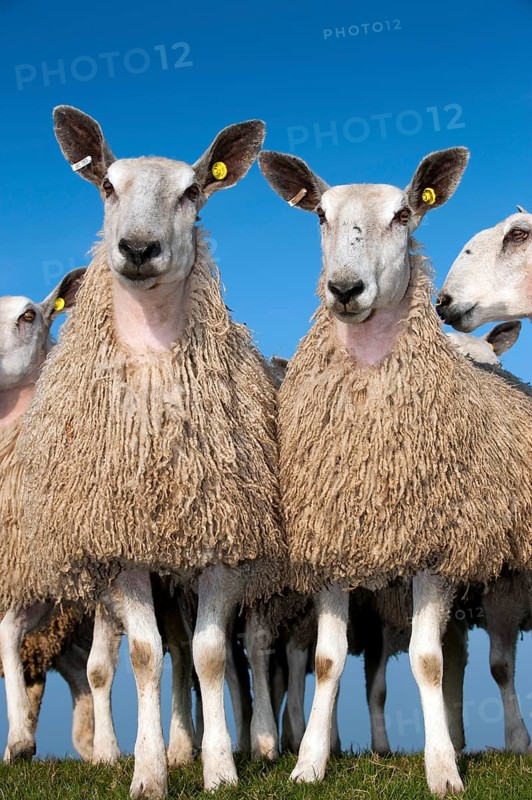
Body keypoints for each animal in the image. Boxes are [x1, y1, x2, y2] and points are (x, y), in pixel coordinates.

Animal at [17, 106, 285, 798]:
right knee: (170, 653)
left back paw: (257, 742)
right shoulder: (121, 547)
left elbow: (215, 655)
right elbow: (144, 657)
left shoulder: (224, 540)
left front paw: (221, 769)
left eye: (193, 191)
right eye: (108, 187)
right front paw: (149, 770)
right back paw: (176, 745)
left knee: (238, 650)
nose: (138, 249)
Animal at [259, 147, 532, 796]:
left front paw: (442, 771)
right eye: (320, 215)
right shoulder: (330, 544)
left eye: (404, 214)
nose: (344, 288)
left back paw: (509, 741)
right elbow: (329, 661)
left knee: (495, 662)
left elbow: (427, 662)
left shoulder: (436, 546)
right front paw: (309, 763)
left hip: (506, 578)